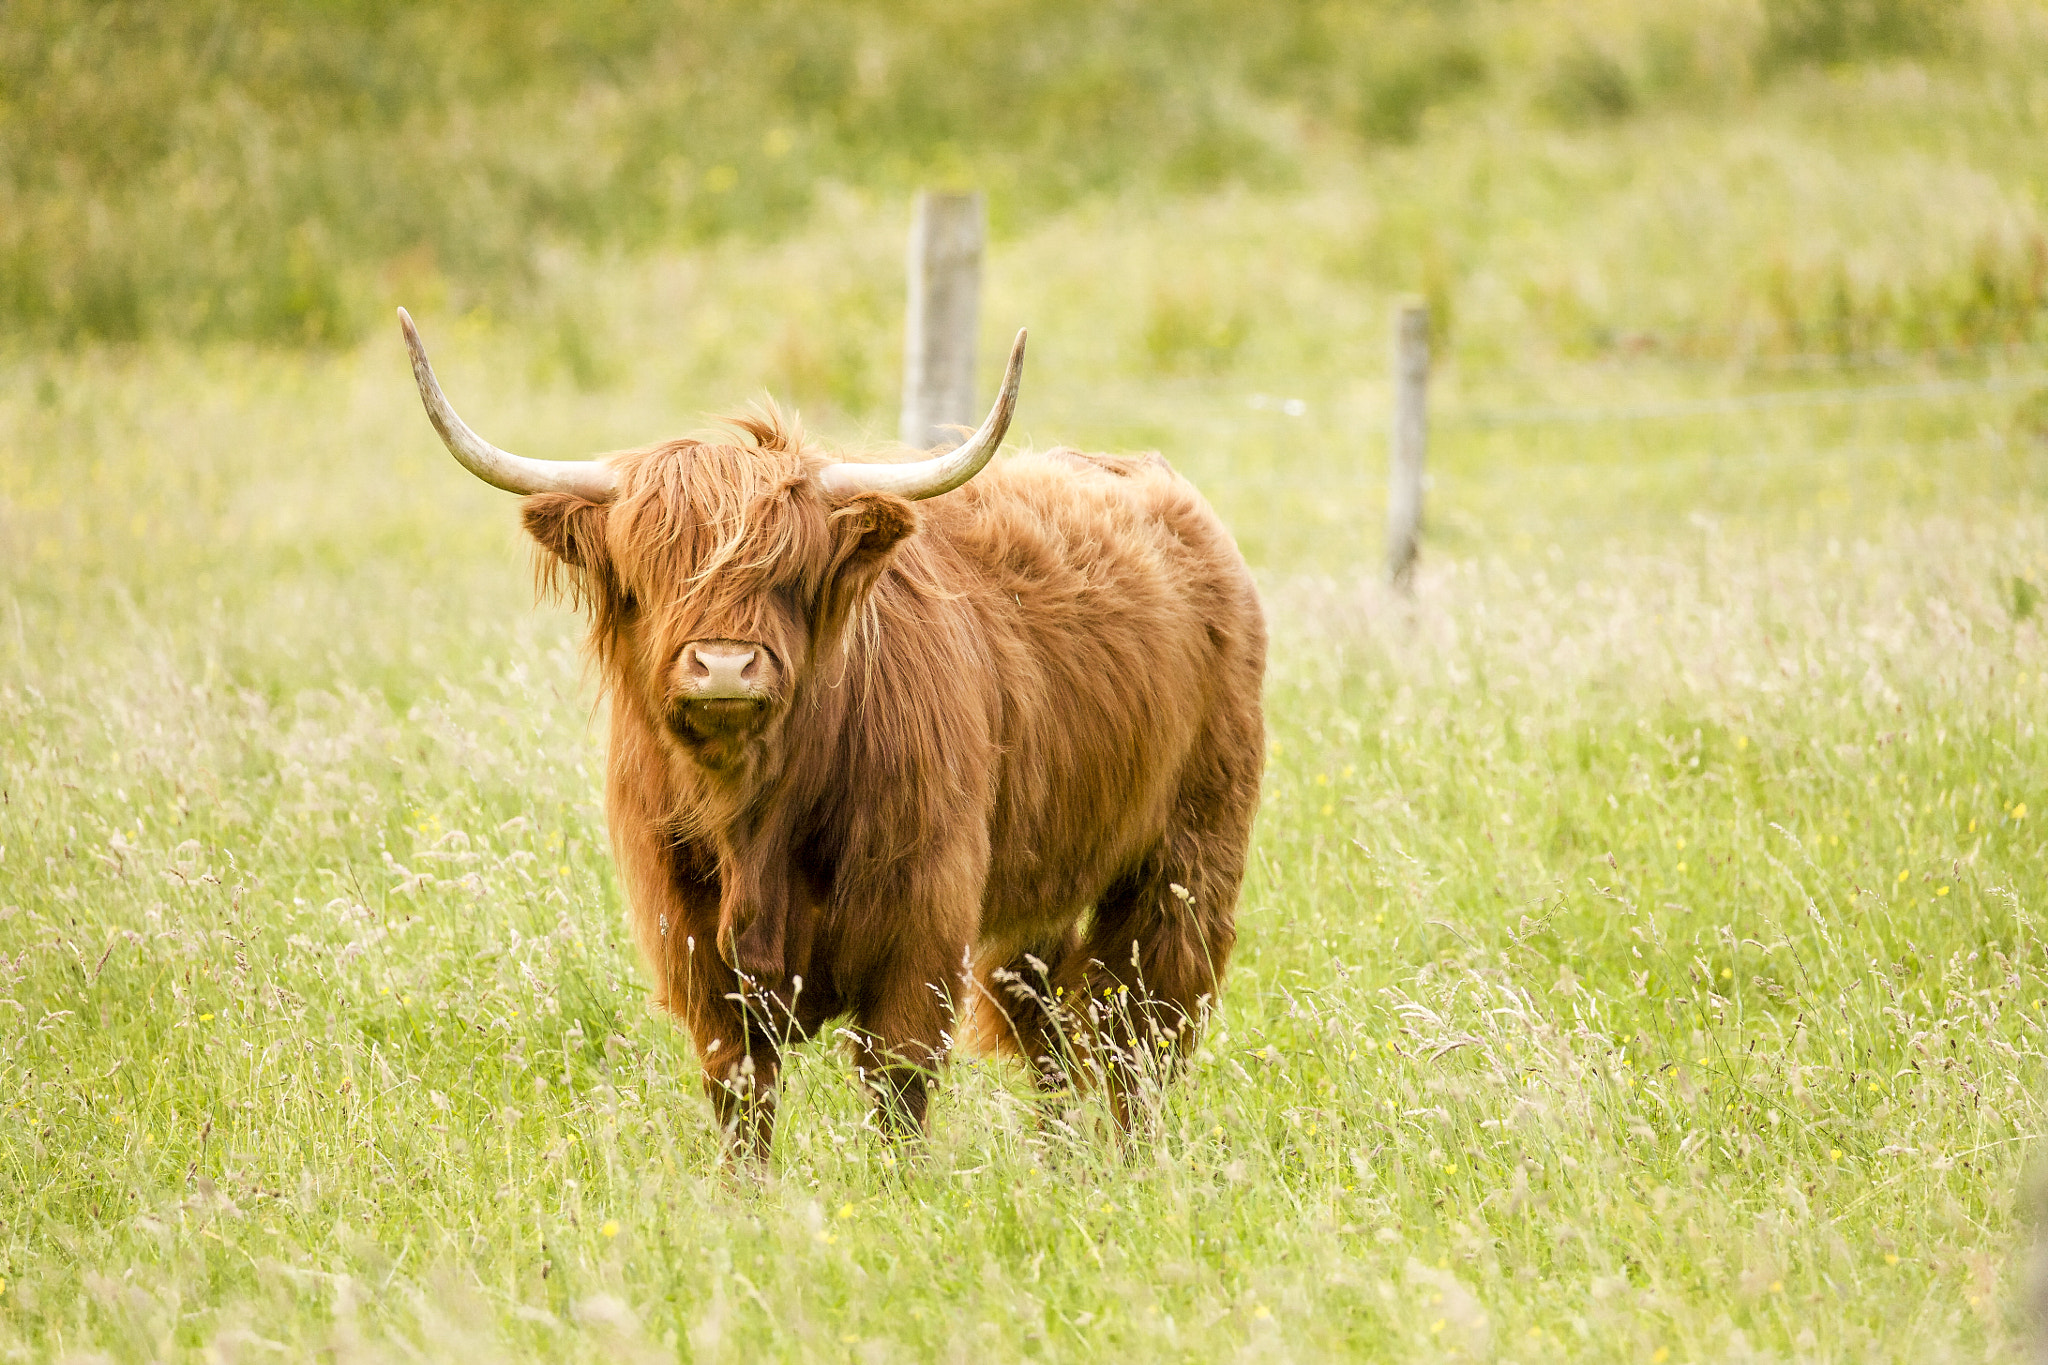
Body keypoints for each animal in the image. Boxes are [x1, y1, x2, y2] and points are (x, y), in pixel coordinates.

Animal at [397, 308, 1265, 1161]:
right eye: (652, 572)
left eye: (791, 571)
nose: (723, 665)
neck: (754, 819)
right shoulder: (693, 942)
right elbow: (741, 1096)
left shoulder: (923, 921)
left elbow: (899, 1085)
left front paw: (898, 1191)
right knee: (1048, 1028)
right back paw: (1061, 1163)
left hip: (1188, 857)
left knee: (1142, 1025)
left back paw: (1134, 1162)